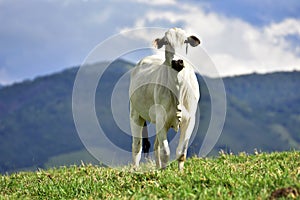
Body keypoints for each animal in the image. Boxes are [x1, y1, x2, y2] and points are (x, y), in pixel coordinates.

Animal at [128, 27, 199, 170]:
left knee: (155, 146)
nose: (177, 61)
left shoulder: (189, 120)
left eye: (185, 41)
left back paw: (157, 167)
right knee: (137, 146)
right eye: (166, 41)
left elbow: (181, 153)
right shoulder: (162, 119)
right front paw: (165, 172)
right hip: (135, 114)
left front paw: (179, 172)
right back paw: (135, 170)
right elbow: (165, 152)